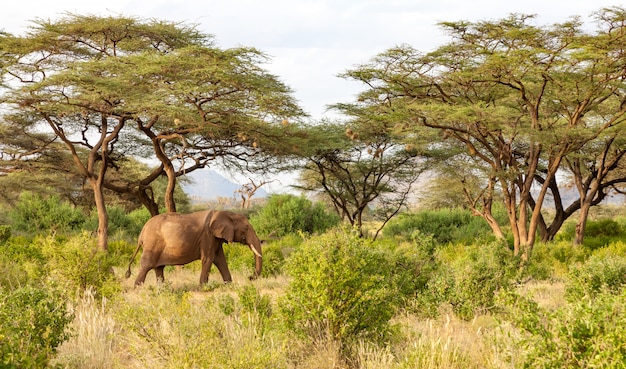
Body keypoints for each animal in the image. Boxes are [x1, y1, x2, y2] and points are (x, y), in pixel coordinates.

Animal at [125, 210, 262, 284]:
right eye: (246, 228)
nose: (250, 277)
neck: (225, 212)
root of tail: (142, 233)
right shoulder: (208, 235)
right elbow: (208, 259)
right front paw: (203, 287)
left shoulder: (215, 238)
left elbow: (220, 259)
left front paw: (228, 285)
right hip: (152, 244)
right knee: (146, 266)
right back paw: (138, 289)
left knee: (158, 268)